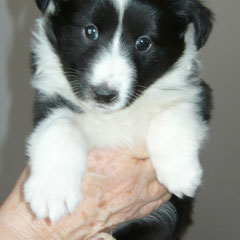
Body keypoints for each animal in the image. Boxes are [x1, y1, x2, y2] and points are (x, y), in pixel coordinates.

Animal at [24, 0, 214, 239]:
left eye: (143, 43)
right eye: (90, 31)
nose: (104, 95)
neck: (115, 115)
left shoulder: (197, 93)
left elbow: (172, 115)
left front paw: (181, 173)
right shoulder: (50, 99)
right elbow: (61, 126)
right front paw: (52, 192)